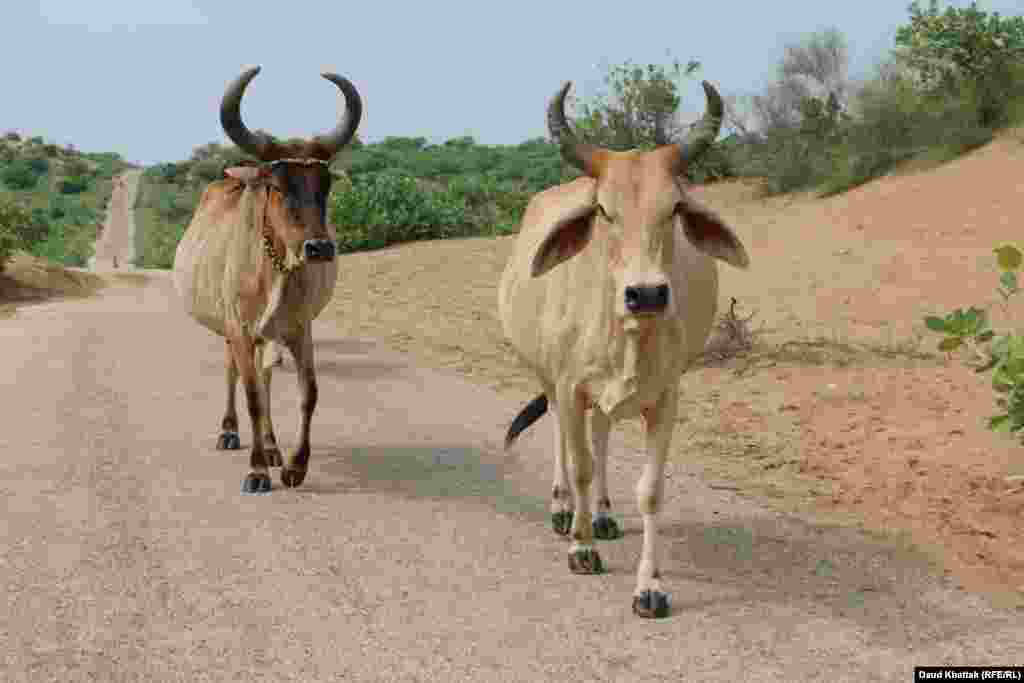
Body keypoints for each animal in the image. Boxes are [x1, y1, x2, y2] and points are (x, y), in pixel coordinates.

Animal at [168, 66, 360, 493]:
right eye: (276, 184)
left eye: (325, 185)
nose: (319, 248)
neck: (275, 268)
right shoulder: (239, 328)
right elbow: (252, 395)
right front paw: (257, 470)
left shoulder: (299, 329)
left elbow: (308, 392)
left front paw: (295, 465)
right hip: (230, 330)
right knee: (235, 374)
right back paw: (230, 431)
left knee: (267, 375)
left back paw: (272, 446)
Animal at [499, 80, 749, 618]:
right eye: (603, 211)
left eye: (674, 209)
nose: (647, 294)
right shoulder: (570, 386)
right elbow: (581, 466)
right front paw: (582, 546)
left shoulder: (667, 398)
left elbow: (650, 491)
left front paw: (649, 587)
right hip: (550, 380)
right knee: (565, 441)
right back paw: (564, 509)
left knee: (602, 432)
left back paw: (605, 515)